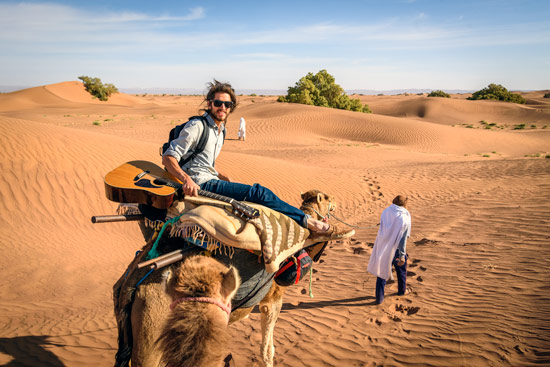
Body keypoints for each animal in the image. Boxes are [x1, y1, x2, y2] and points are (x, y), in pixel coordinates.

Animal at [113, 190, 348, 367]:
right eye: (328, 198)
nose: (336, 202)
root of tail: (131, 287)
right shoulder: (272, 299)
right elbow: (267, 349)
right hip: (153, 327)